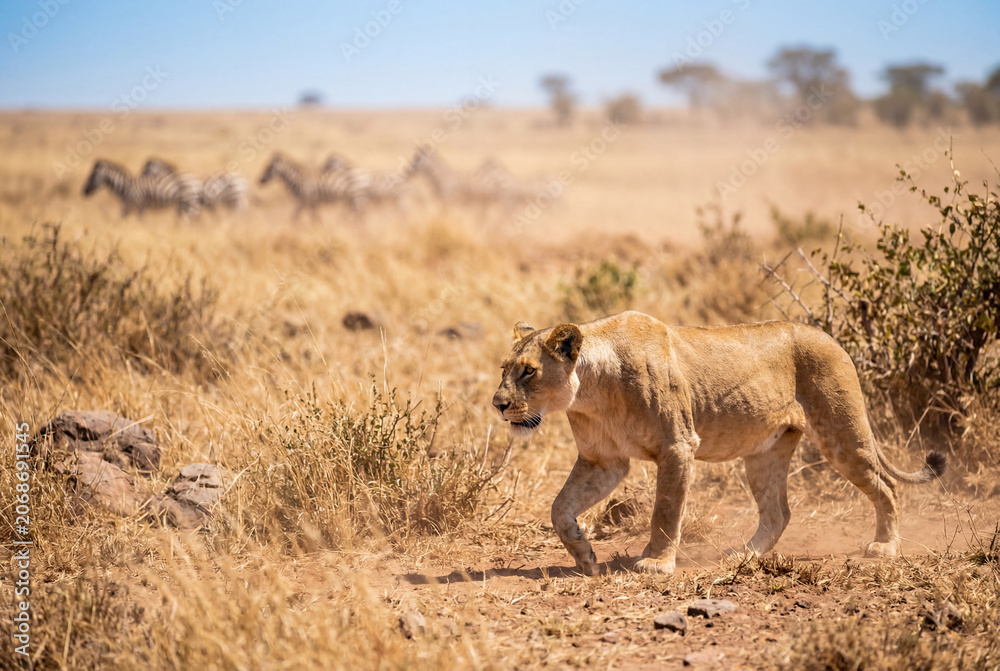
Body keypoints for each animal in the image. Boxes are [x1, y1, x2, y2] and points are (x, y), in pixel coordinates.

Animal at [491, 311, 945, 575]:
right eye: (503, 368)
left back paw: (885, 546)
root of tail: (832, 338)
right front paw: (584, 556)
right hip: (764, 454)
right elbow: (560, 508)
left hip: (842, 434)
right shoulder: (604, 461)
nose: (498, 404)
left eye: (529, 371)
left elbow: (665, 511)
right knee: (778, 512)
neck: (591, 391)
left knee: (887, 486)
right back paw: (744, 555)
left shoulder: (678, 446)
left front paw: (656, 563)